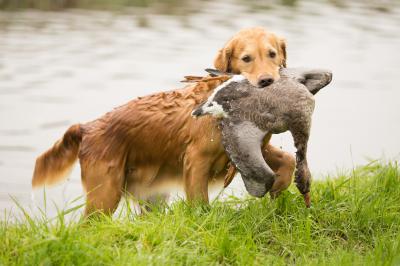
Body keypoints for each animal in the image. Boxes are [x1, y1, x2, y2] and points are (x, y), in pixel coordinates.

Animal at [32, 27, 296, 216]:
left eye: (272, 54)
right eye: (246, 58)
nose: (266, 81)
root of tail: (88, 127)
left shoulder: (252, 148)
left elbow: (289, 160)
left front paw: (278, 189)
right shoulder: (196, 160)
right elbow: (199, 203)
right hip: (105, 194)